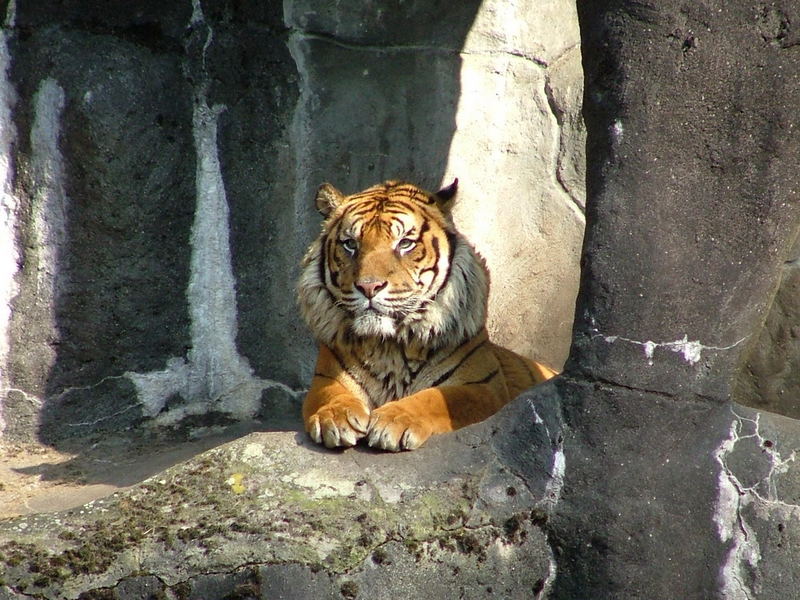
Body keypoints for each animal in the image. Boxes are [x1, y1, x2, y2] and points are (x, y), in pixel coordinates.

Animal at [296, 178, 556, 450]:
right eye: (350, 244)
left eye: (405, 243)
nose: (369, 287)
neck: (389, 346)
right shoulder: (326, 377)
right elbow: (330, 394)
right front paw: (335, 417)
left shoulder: (481, 387)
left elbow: (435, 399)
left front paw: (393, 420)